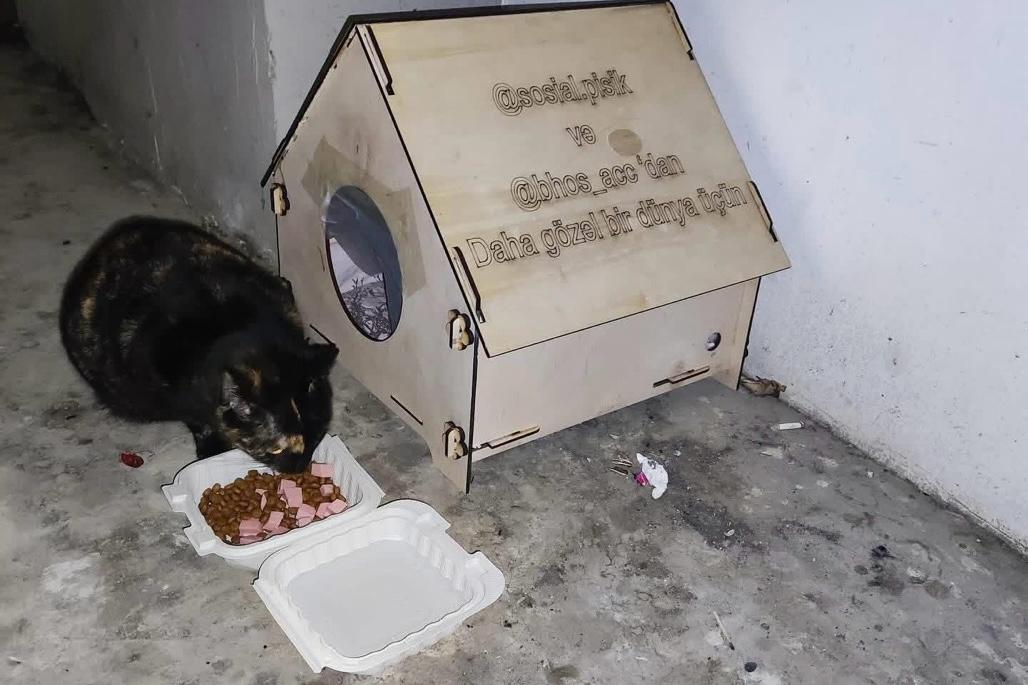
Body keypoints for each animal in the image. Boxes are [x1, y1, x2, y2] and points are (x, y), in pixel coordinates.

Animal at [59, 216, 338, 472]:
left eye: (317, 434)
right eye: (275, 449)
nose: (299, 469)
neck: (242, 327)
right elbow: (198, 418)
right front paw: (212, 448)